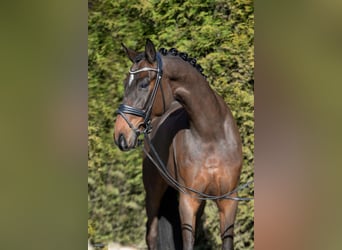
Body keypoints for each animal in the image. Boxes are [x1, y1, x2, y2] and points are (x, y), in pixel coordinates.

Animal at [113, 39, 242, 250]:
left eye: (143, 84)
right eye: (125, 84)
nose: (120, 136)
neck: (211, 135)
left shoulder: (228, 201)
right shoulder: (188, 200)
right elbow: (187, 242)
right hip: (154, 193)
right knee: (152, 235)